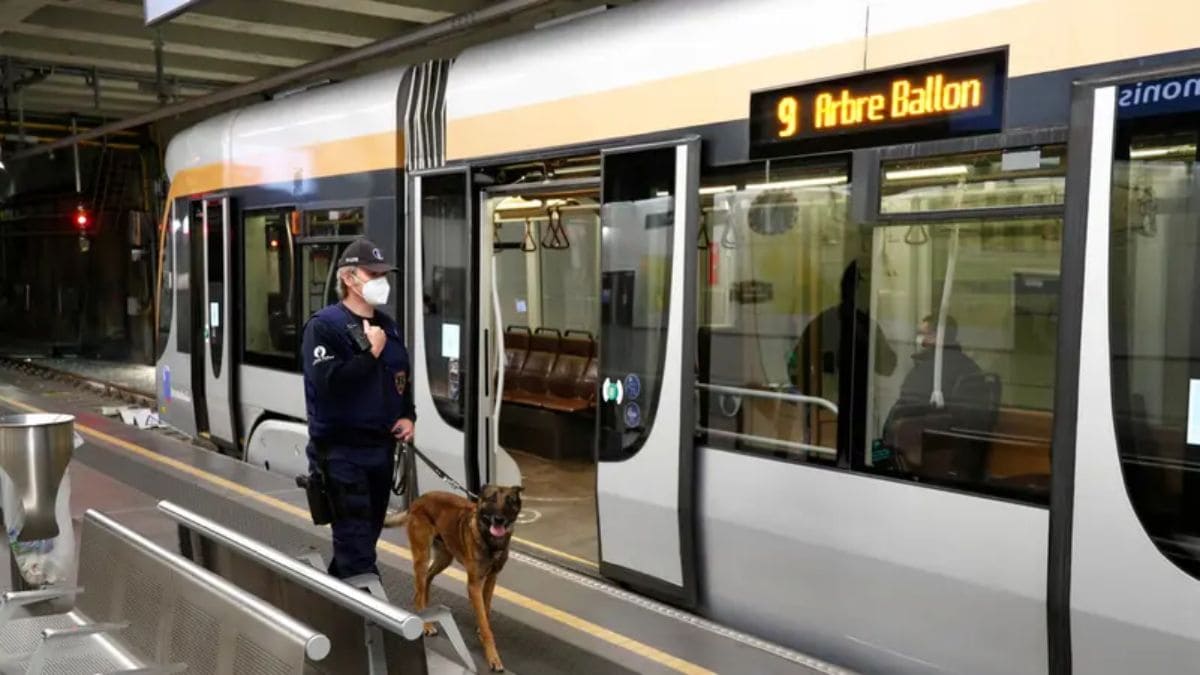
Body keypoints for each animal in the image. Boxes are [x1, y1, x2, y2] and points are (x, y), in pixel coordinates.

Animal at [379, 482, 520, 667]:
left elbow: (486, 609)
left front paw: (482, 631)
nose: (499, 519)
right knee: (418, 591)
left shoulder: (491, 578)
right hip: (422, 557)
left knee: (427, 579)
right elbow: (483, 619)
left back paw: (428, 606)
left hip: (445, 558)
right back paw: (426, 623)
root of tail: (417, 500)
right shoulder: (474, 585)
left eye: (510, 501)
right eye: (491, 499)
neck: (489, 541)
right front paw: (492, 655)